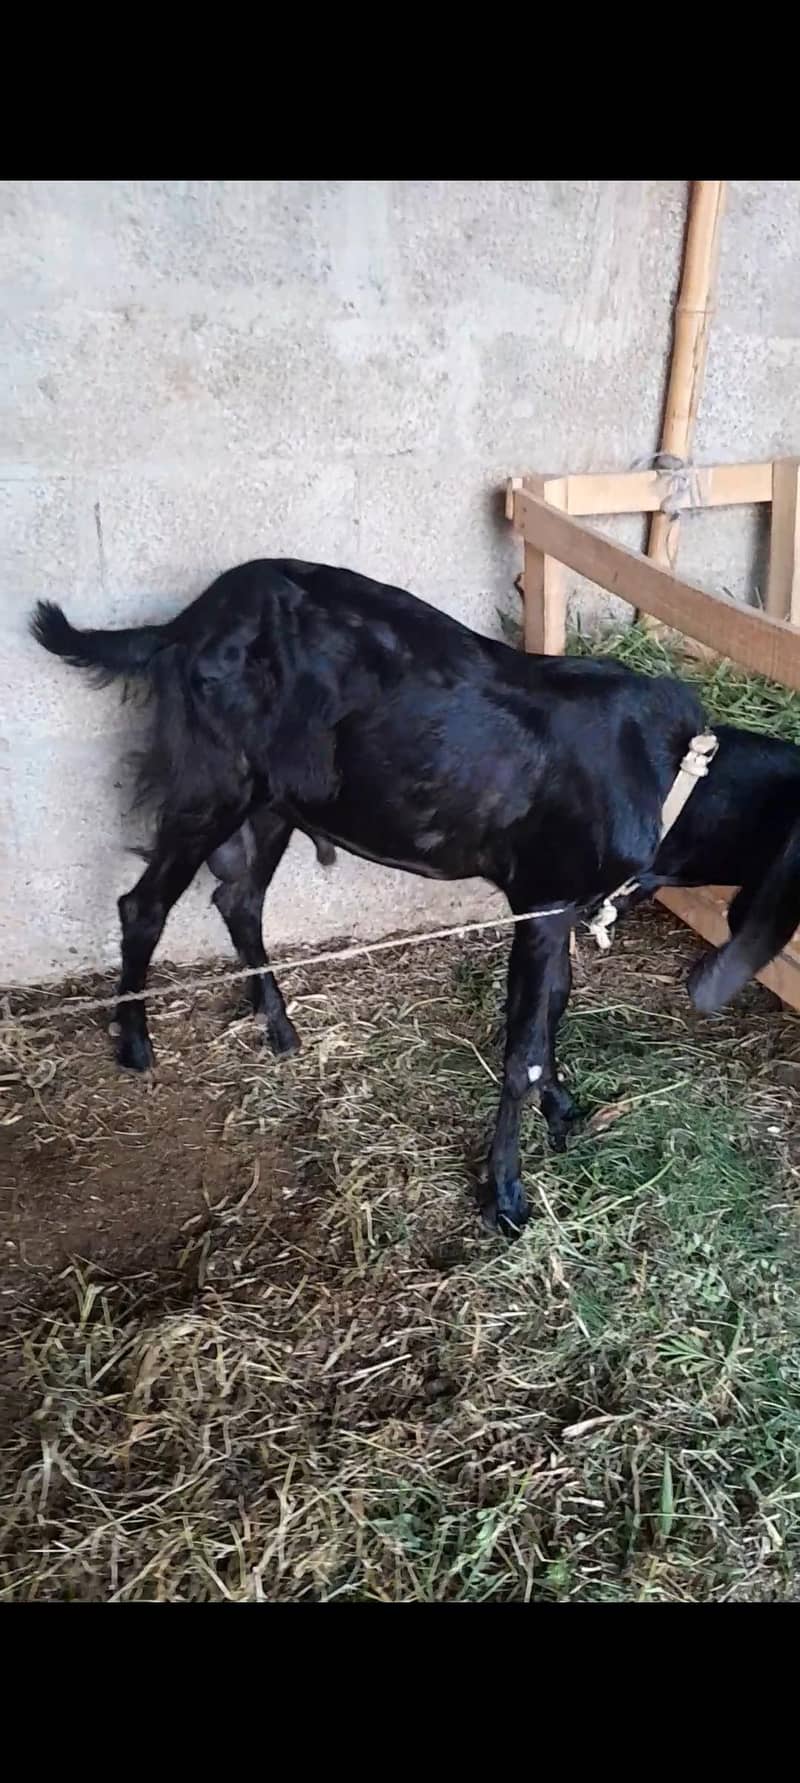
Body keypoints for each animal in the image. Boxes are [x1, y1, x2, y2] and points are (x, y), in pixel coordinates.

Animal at [30, 559, 800, 1232]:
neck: (670, 774)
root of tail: (182, 624)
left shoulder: (557, 905)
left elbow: (552, 1010)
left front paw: (563, 1110)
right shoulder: (544, 899)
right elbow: (524, 1044)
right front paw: (506, 1196)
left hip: (276, 800)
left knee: (238, 900)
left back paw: (278, 1024)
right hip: (216, 781)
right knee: (146, 905)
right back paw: (135, 1042)